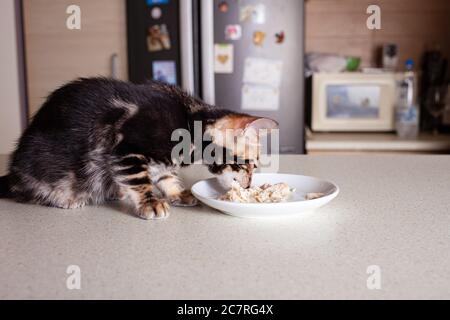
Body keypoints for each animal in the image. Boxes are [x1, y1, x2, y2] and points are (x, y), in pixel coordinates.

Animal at [0, 77, 278, 220]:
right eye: (250, 165)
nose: (249, 186)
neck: (189, 120)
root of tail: (13, 171)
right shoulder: (127, 148)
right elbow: (139, 179)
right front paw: (150, 202)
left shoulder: (161, 161)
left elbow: (166, 175)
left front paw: (177, 193)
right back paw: (65, 199)